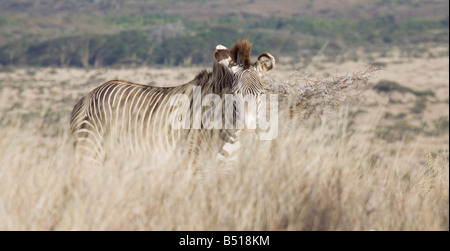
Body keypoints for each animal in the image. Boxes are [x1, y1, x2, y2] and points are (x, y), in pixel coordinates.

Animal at [69, 39, 274, 167]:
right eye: (233, 94)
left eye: (261, 94)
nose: (247, 133)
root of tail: (87, 96)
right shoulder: (194, 164)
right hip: (90, 151)